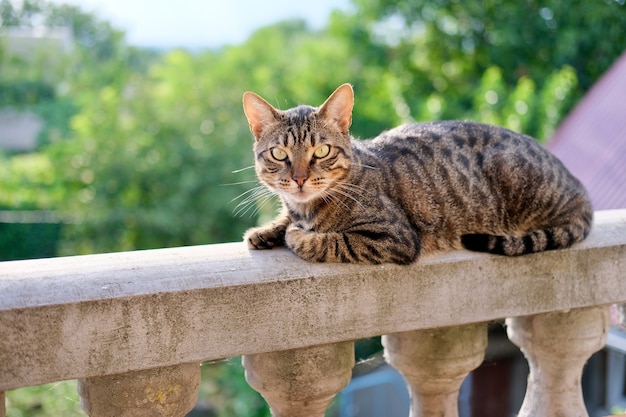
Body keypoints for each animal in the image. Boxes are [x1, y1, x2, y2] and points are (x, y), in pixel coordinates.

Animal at [241, 83, 592, 264]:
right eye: (279, 154)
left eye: (322, 152)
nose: (299, 178)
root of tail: (580, 188)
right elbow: (287, 220)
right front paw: (266, 230)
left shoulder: (394, 238)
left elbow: (329, 242)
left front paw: (295, 235)